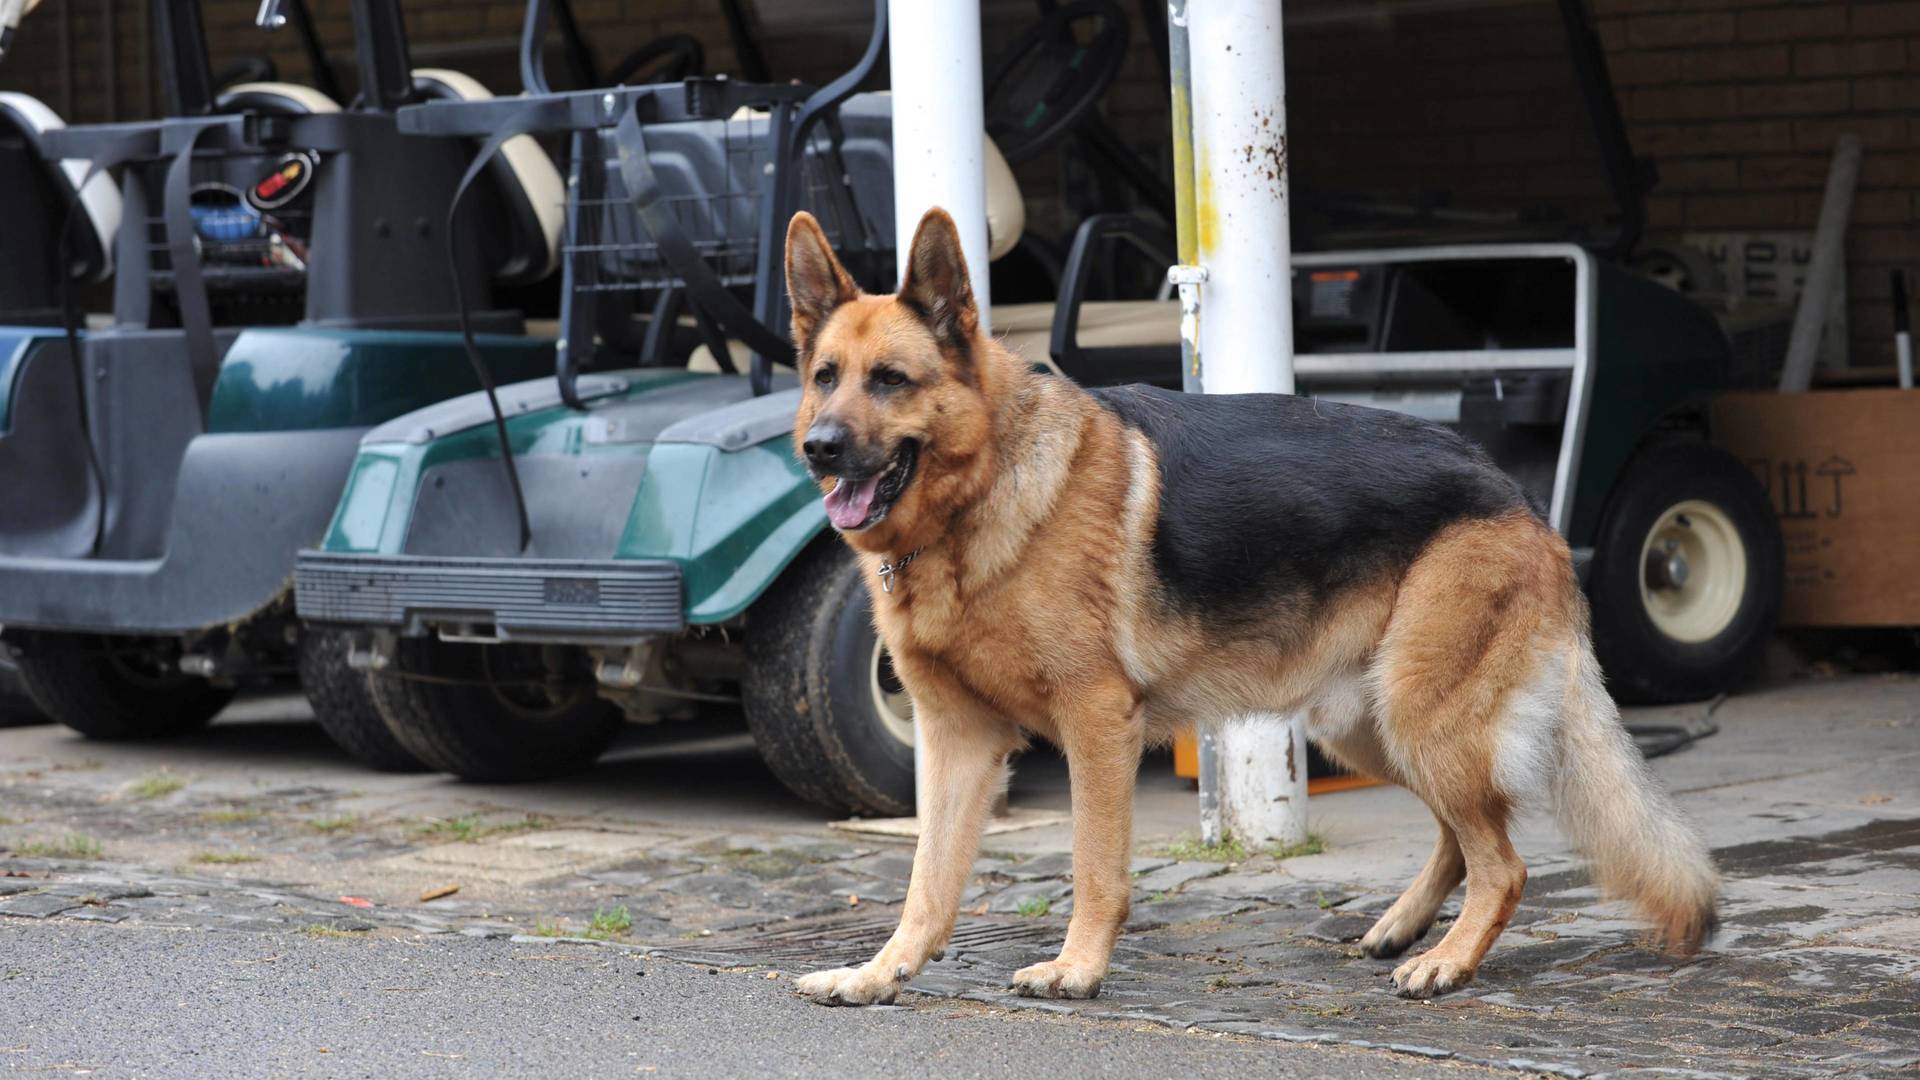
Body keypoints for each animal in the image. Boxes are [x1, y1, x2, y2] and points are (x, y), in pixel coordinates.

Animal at [787, 208, 1720, 999]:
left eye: (891, 380)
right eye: (826, 378)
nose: (818, 449)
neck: (982, 494)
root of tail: (1512, 490)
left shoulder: (1095, 724)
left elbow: (1093, 865)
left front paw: (1077, 968)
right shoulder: (960, 744)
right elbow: (927, 881)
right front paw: (879, 973)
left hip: (1422, 718)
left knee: (1504, 862)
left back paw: (1448, 962)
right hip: (1368, 727)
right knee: (1464, 839)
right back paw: (1406, 929)